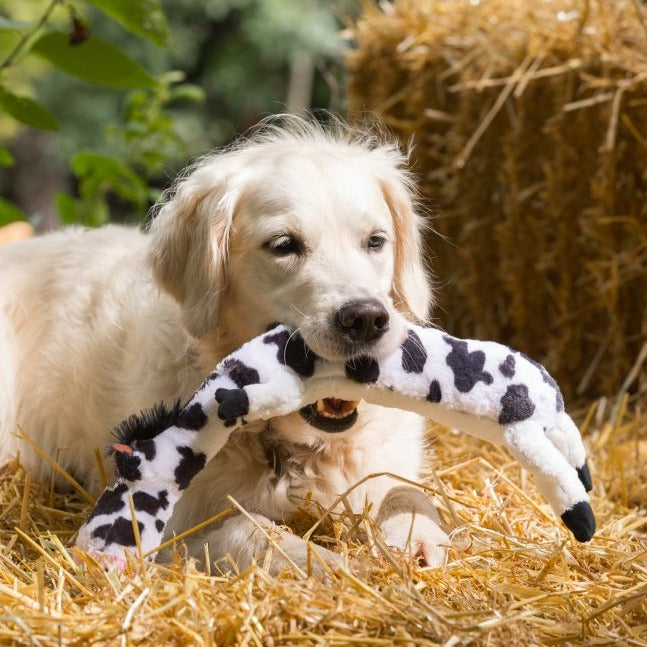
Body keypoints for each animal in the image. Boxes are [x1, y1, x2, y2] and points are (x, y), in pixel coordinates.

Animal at [0, 117, 450, 572]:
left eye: (375, 241)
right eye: (284, 245)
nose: (366, 319)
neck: (288, 444)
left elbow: (406, 491)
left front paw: (419, 535)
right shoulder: (171, 527)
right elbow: (253, 530)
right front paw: (330, 566)